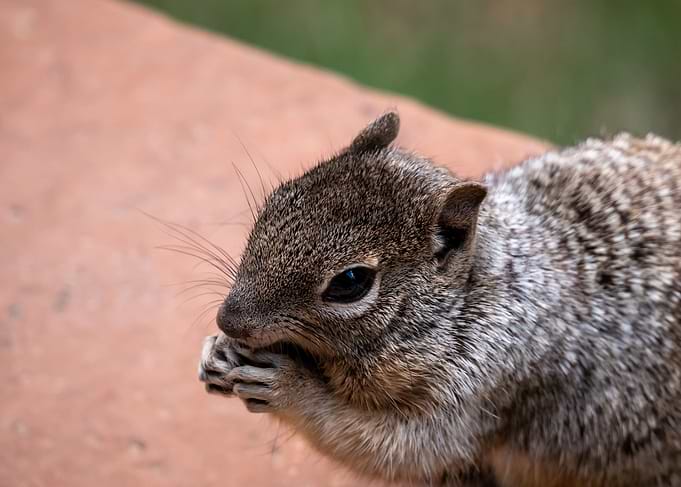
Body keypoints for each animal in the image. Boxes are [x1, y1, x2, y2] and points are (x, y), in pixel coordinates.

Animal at [198, 112, 681, 486]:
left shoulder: (484, 385)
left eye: (351, 282)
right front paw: (216, 352)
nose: (228, 319)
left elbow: (397, 446)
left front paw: (289, 386)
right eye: (277, 199)